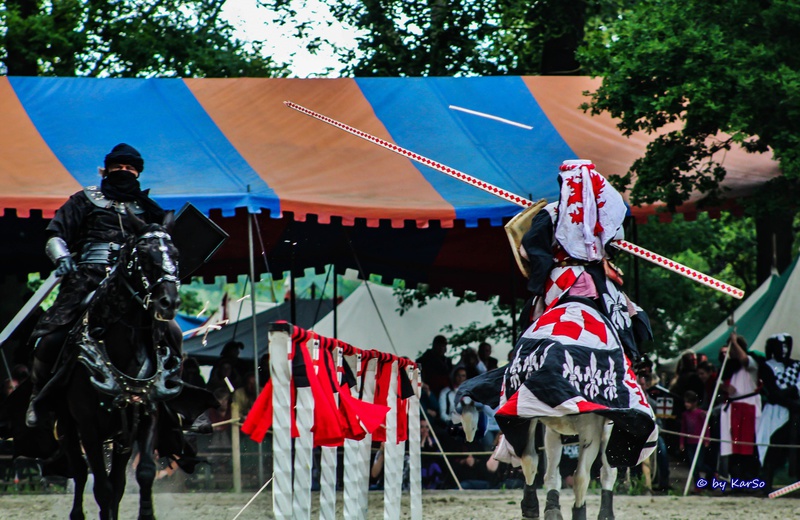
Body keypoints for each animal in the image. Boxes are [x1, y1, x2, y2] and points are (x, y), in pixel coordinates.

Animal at [50, 211, 183, 520]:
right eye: (144, 255)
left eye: (175, 254)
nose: (168, 302)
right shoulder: (88, 427)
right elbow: (101, 487)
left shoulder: (147, 415)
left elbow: (142, 474)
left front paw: (146, 514)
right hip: (68, 427)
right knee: (81, 472)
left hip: (121, 437)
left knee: (119, 480)